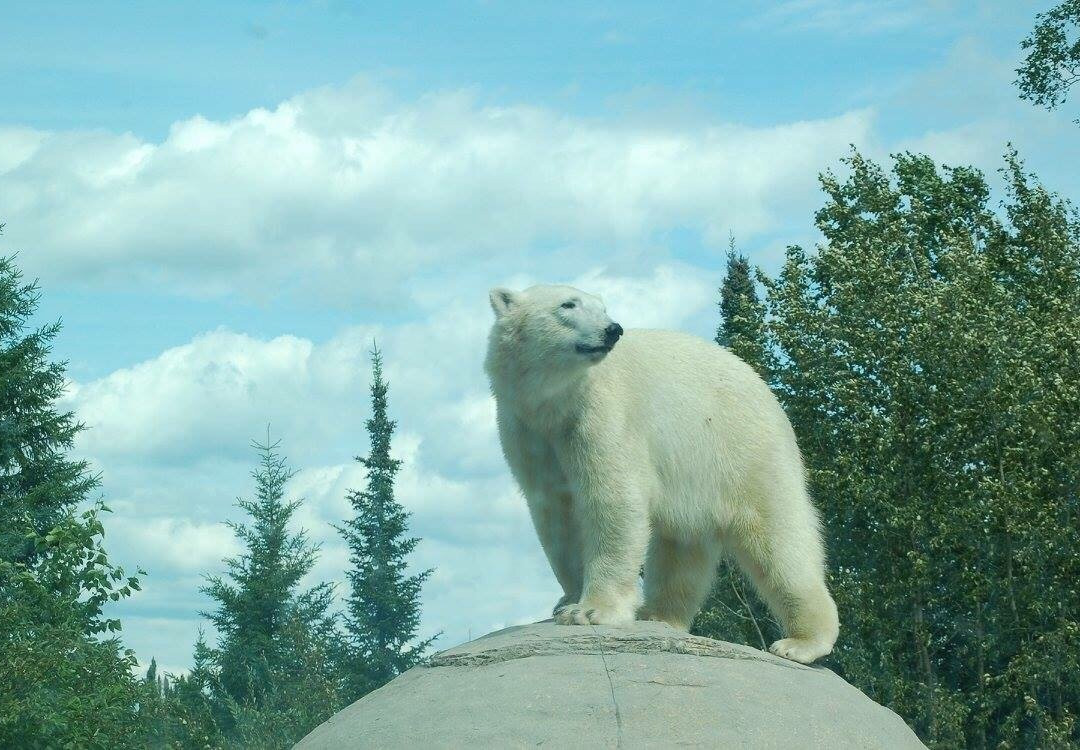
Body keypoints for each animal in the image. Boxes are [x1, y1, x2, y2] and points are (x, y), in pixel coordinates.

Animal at [483, 280, 842, 665]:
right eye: (568, 305)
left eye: (602, 307)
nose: (612, 329)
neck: (554, 404)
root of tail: (767, 393)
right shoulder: (527, 430)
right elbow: (556, 513)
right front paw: (568, 601)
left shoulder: (601, 414)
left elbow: (612, 499)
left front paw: (591, 610)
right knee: (681, 548)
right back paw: (657, 614)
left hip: (746, 453)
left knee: (778, 540)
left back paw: (800, 642)